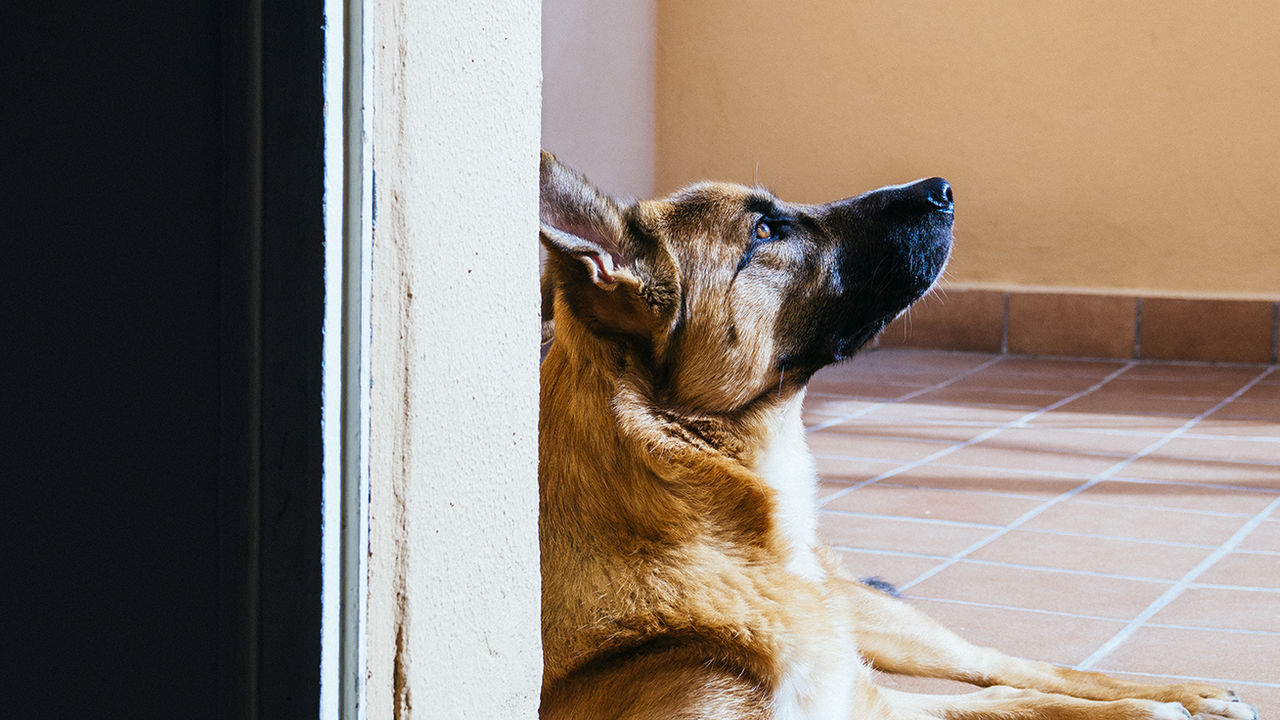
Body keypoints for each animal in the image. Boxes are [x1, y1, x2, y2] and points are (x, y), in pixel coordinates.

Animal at [532, 148, 1259, 712]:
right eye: (766, 230)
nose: (942, 188)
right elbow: (1009, 706)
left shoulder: (859, 694)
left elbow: (1019, 694)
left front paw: (1153, 705)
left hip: (877, 623)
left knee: (999, 664)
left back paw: (1187, 694)